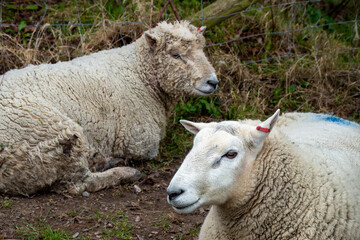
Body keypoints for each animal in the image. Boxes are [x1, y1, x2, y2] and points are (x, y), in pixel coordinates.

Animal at [0, 21, 218, 196]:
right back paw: (123, 172)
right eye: (176, 55)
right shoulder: (138, 142)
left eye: (202, 50)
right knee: (80, 184)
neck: (138, 72)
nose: (213, 82)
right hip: (55, 135)